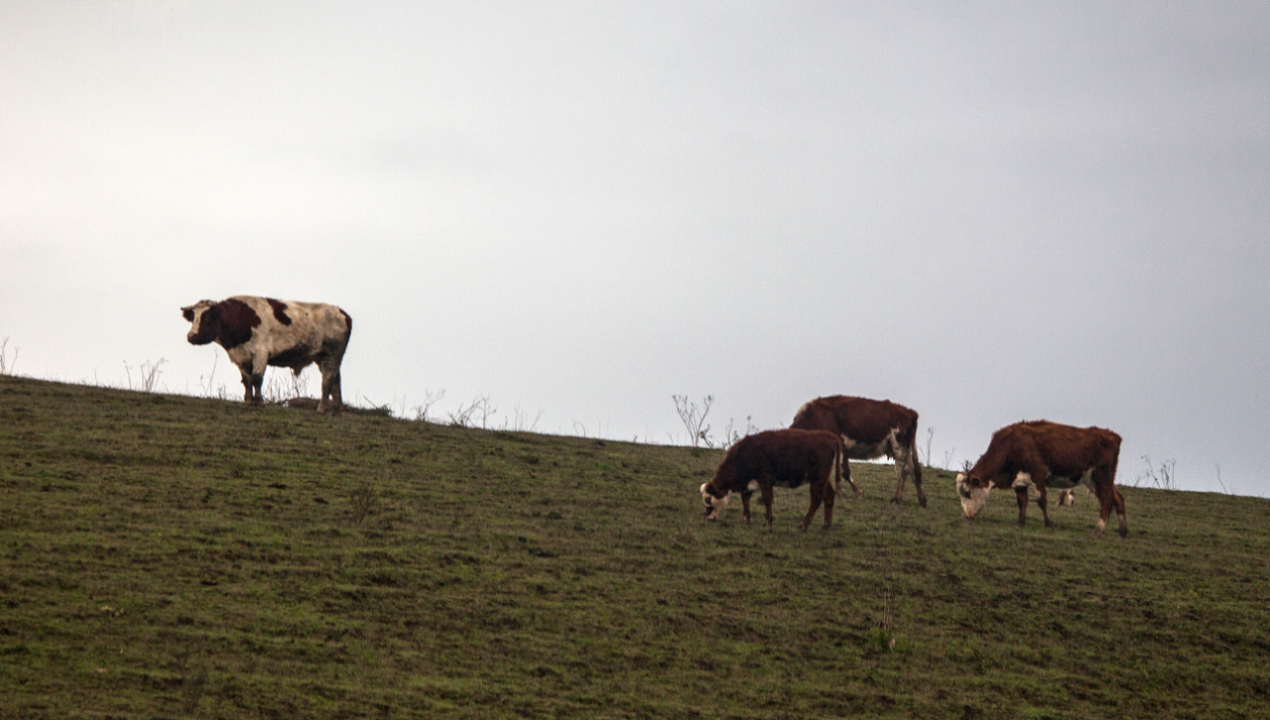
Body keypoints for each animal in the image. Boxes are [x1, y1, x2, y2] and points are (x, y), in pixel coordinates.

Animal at [176, 297, 350, 411]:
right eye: (193, 317)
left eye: (209, 317)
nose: (191, 336)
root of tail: (341, 312)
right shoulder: (241, 357)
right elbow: (246, 380)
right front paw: (248, 402)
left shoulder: (261, 353)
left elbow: (257, 379)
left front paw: (259, 402)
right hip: (323, 357)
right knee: (336, 379)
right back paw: (337, 409)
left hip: (332, 354)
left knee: (327, 379)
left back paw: (322, 408)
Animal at [695, 431, 843, 533]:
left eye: (708, 500)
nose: (709, 518)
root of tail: (828, 436)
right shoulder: (751, 482)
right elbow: (745, 497)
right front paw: (746, 519)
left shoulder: (765, 479)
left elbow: (767, 499)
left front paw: (768, 522)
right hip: (822, 479)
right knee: (829, 495)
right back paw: (825, 525)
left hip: (818, 477)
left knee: (816, 498)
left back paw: (804, 525)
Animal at [787, 396, 929, 510]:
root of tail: (909, 411)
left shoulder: (840, 445)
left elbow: (844, 472)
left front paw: (857, 492)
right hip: (904, 449)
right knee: (913, 471)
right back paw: (921, 500)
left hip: (899, 445)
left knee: (903, 470)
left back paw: (897, 498)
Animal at [955, 421, 1127, 535]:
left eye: (967, 493)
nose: (965, 516)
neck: (1012, 445)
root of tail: (1113, 436)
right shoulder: (1019, 481)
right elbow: (1022, 501)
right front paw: (1020, 522)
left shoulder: (1038, 475)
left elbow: (1041, 500)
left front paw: (1049, 523)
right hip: (1094, 481)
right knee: (1117, 498)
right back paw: (1123, 530)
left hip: (1102, 476)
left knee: (1105, 500)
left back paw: (1099, 528)